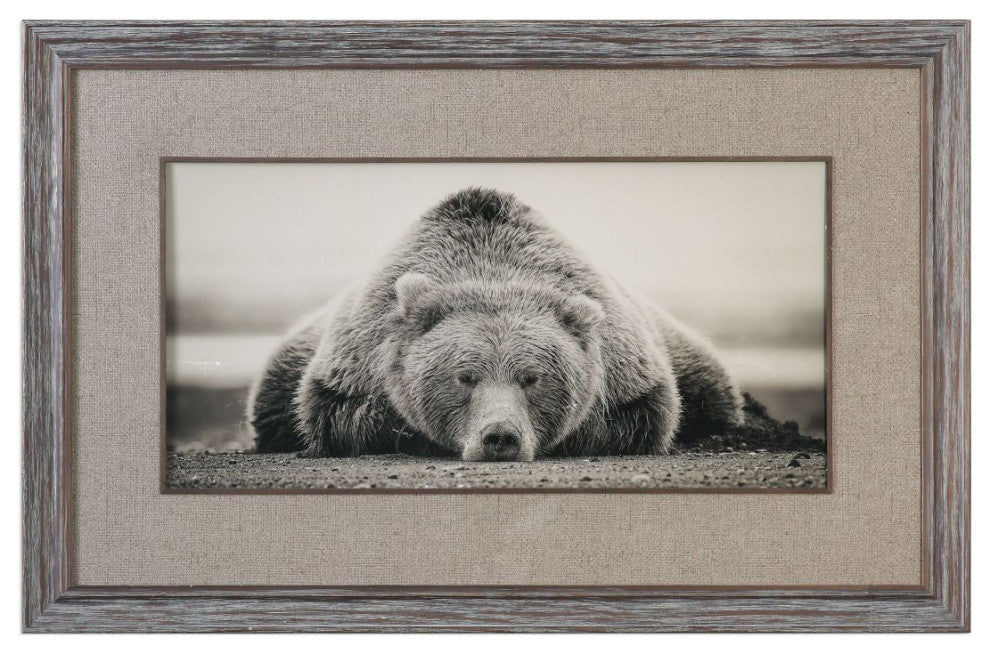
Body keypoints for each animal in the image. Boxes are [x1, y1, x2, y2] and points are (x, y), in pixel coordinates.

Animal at [247, 188, 743, 461]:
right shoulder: (355, 361)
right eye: (465, 376)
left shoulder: (629, 370)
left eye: (532, 378)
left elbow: (642, 416)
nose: (499, 437)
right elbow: (340, 414)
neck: (492, 268)